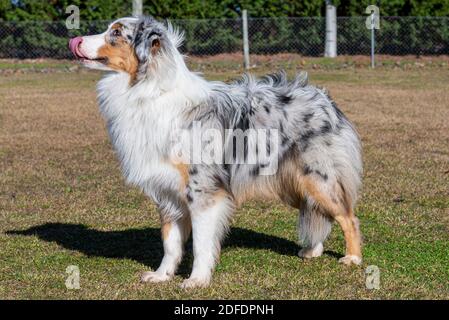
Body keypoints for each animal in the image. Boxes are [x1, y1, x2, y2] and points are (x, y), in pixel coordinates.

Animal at [69, 16, 364, 288]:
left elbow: (201, 243)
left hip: (317, 177)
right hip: (292, 182)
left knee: (347, 215)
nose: (76, 40)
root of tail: (324, 97)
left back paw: (353, 258)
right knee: (317, 210)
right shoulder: (167, 193)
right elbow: (170, 243)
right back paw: (313, 250)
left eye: (116, 33)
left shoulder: (203, 192)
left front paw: (197, 280)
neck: (148, 90)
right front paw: (162, 275)